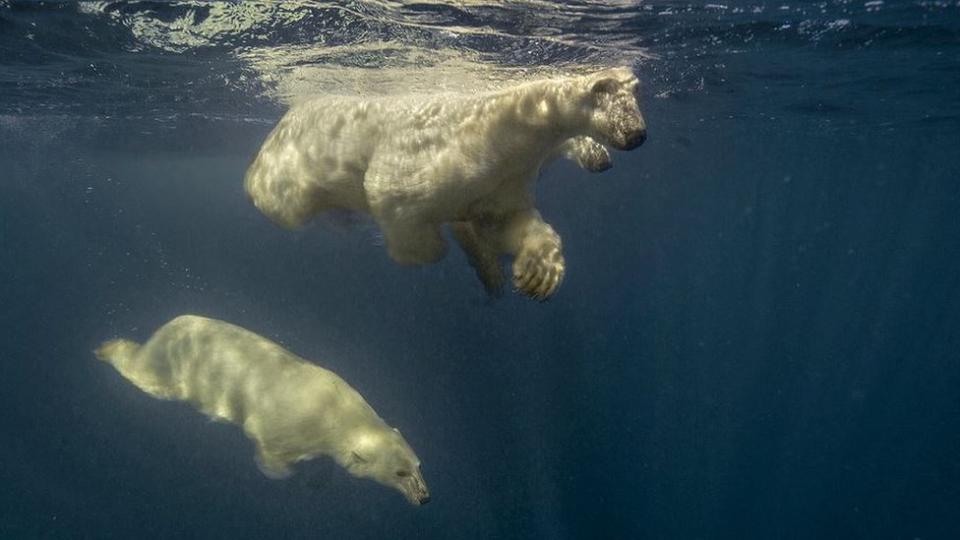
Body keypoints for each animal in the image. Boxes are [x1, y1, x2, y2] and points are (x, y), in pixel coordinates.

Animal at [95, 314, 430, 504]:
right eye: (400, 472)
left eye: (418, 465)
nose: (425, 497)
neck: (337, 411)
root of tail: (164, 330)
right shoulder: (289, 427)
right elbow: (269, 449)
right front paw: (281, 472)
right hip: (169, 370)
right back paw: (108, 348)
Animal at [244, 66, 644, 300]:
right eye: (621, 104)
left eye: (635, 102)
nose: (638, 135)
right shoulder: (438, 155)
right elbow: (393, 195)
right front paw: (430, 248)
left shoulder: (506, 178)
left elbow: (503, 222)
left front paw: (536, 273)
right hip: (291, 168)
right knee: (283, 201)